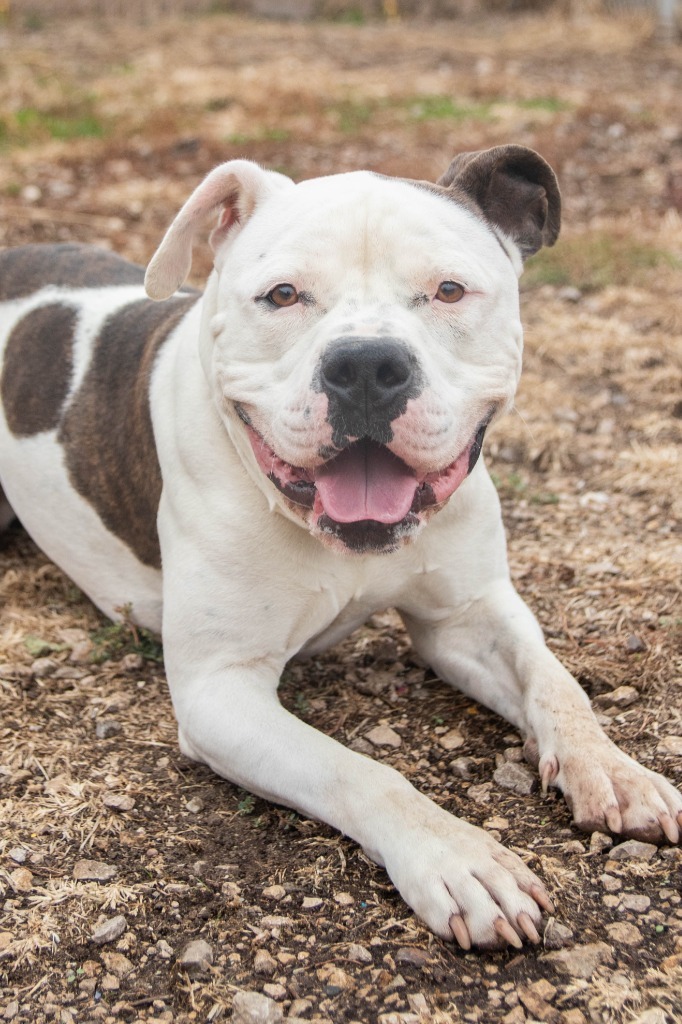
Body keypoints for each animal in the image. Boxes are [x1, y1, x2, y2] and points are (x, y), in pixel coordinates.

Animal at [1, 146, 679, 950]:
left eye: (449, 289)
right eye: (283, 295)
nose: (364, 366)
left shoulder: (467, 617)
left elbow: (557, 684)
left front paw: (612, 768)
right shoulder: (219, 691)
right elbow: (358, 771)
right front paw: (456, 857)